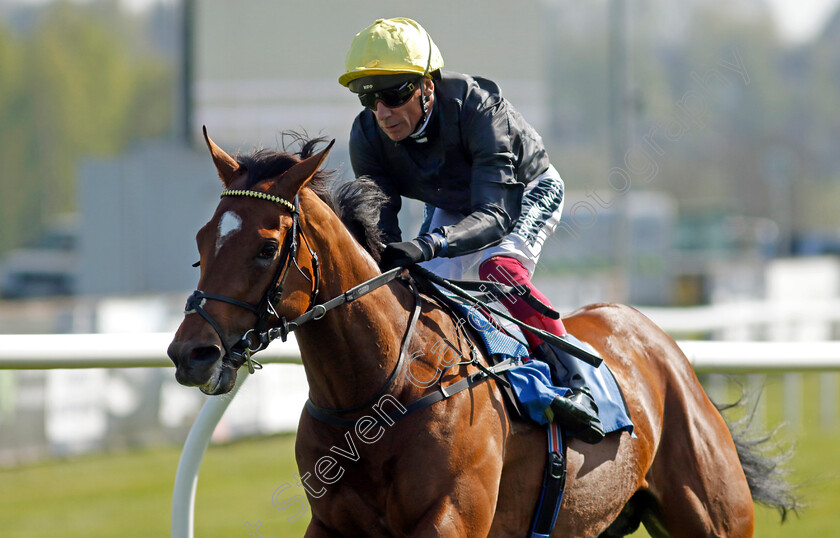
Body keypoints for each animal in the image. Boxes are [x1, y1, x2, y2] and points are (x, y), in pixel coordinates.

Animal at [167, 130, 796, 536]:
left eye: (266, 246)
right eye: (199, 242)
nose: (190, 353)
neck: (378, 393)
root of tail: (659, 343)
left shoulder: (449, 519)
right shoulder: (332, 524)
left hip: (714, 516)